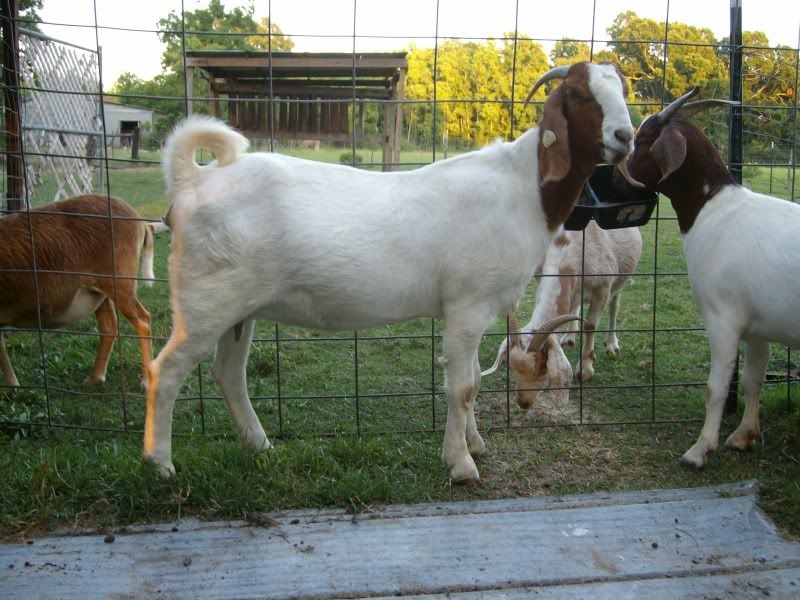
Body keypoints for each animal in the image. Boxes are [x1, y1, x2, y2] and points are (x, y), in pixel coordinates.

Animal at [0, 195, 154, 388]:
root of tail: (140, 221)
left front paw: (12, 386)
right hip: (98, 290)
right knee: (109, 326)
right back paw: (94, 378)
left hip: (119, 281)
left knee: (143, 321)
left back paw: (146, 381)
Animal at [482, 221, 642, 405]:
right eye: (512, 367)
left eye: (543, 366)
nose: (523, 402)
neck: (569, 252)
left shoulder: (602, 288)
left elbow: (590, 325)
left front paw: (586, 369)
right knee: (575, 306)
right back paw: (570, 338)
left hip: (619, 280)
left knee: (614, 306)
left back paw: (611, 344)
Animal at [616, 87, 799, 468]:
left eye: (645, 139)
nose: (614, 178)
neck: (713, 209)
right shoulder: (758, 328)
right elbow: (752, 379)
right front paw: (744, 435)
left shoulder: (722, 318)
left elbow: (717, 387)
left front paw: (699, 450)